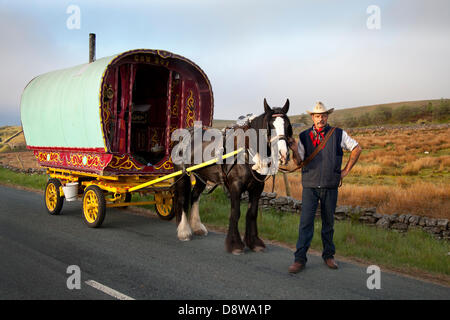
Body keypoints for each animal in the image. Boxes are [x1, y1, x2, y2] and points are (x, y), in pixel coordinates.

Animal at [171, 99, 296, 254]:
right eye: (270, 126)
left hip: (202, 175)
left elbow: (252, 213)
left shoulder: (257, 188)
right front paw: (235, 244)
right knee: (182, 198)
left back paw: (197, 227)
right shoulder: (235, 186)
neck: (246, 151)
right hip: (182, 173)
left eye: (288, 126)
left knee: (194, 196)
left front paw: (254, 242)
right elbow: (235, 213)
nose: (283, 155)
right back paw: (184, 231)